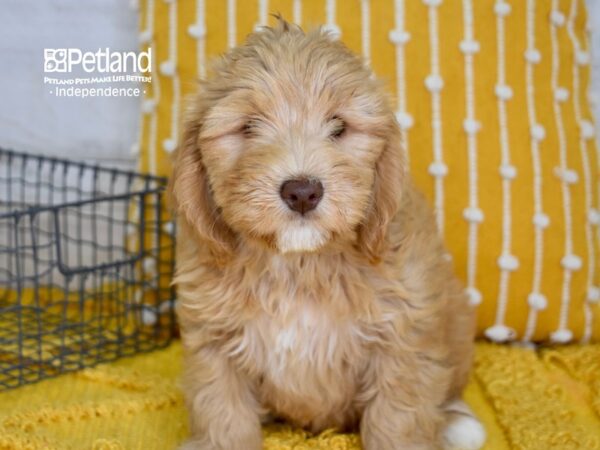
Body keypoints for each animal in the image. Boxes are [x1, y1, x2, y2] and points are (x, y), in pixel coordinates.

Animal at [168, 17, 482, 450]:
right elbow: (223, 414)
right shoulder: (213, 341)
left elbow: (398, 418)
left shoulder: (403, 338)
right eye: (248, 127)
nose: (302, 191)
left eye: (339, 127)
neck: (299, 265)